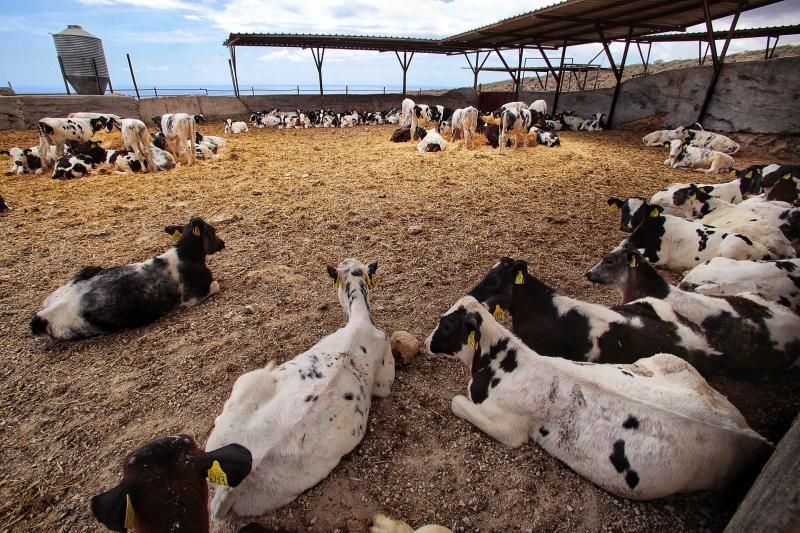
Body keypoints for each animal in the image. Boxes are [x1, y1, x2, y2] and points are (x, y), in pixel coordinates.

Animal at [30, 217, 225, 338]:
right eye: (212, 230)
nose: (223, 243)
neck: (185, 255)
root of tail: (43, 315)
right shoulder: (194, 296)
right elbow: (216, 285)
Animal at [424, 296, 768, 498]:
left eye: (446, 323)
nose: (427, 341)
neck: (505, 361)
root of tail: (747, 433)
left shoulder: (508, 428)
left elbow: (456, 402)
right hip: (669, 361)